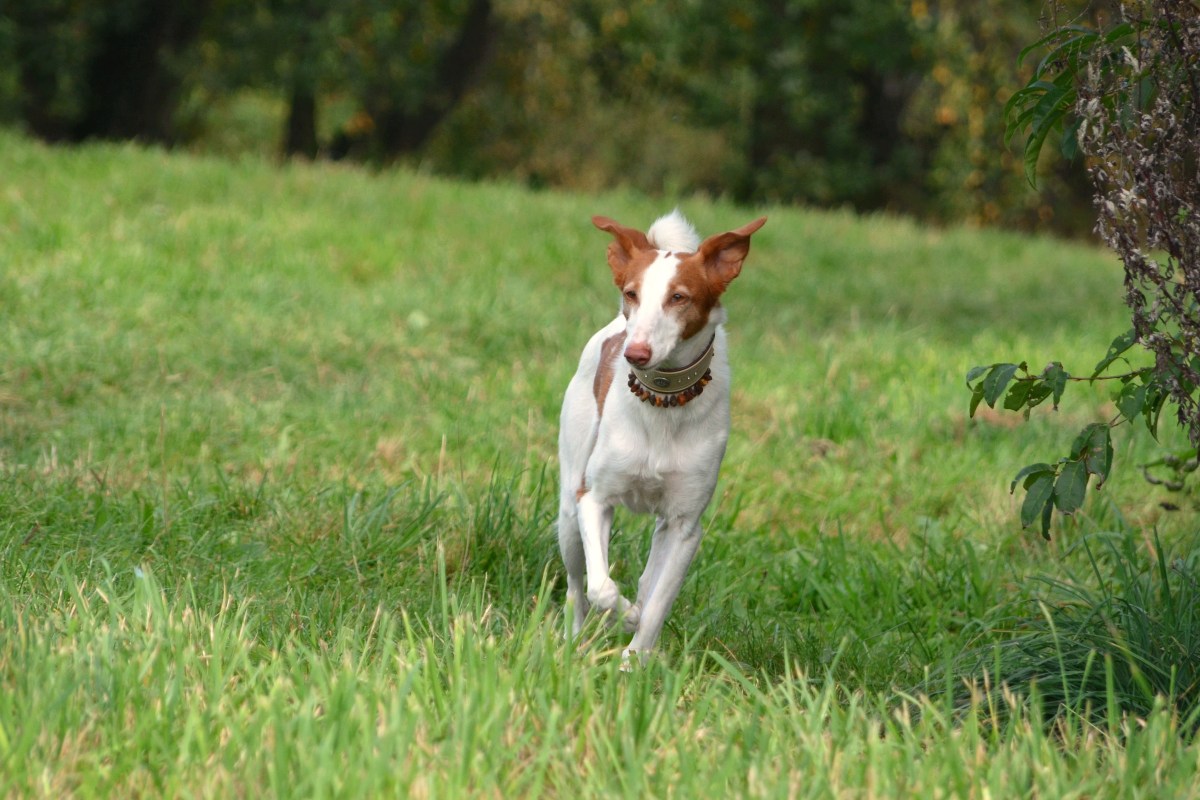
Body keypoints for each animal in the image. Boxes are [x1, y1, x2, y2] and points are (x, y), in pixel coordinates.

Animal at [554, 208, 763, 662]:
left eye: (679, 297)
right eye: (632, 294)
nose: (636, 354)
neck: (664, 400)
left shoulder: (685, 527)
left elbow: (657, 605)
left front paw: (633, 661)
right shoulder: (593, 499)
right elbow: (601, 587)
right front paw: (624, 616)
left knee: (647, 582)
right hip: (568, 510)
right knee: (577, 586)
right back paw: (576, 639)